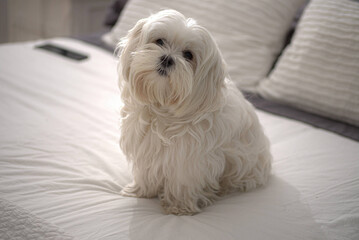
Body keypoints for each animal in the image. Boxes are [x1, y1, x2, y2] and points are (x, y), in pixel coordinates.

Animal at [118, 9, 272, 216]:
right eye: (159, 41)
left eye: (188, 55)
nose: (167, 58)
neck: (163, 110)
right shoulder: (147, 147)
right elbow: (146, 172)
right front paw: (140, 191)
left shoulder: (188, 160)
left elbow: (182, 183)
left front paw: (179, 206)